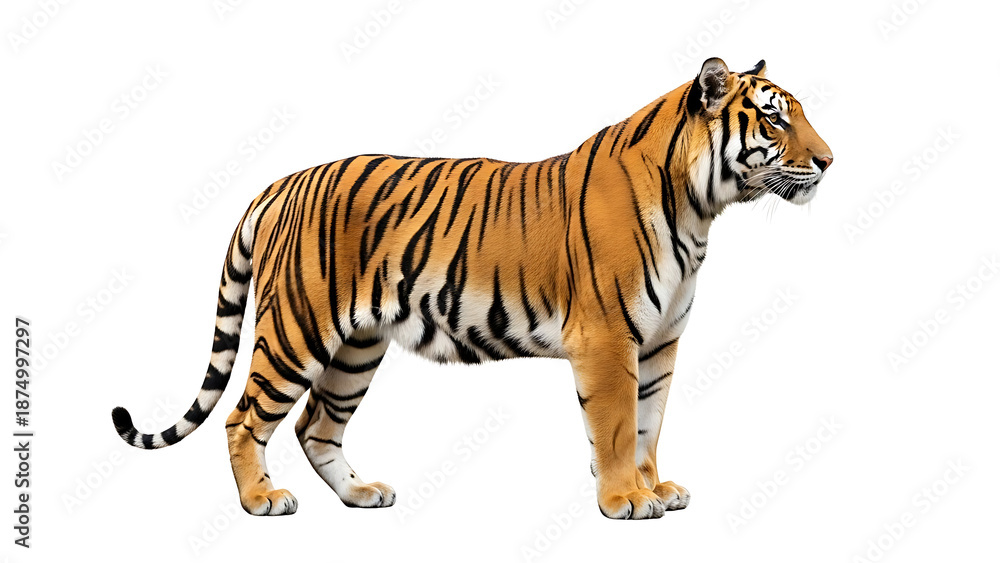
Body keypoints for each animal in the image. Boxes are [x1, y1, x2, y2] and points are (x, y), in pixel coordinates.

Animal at [112, 57, 832, 520]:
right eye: (774, 121)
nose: (829, 160)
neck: (699, 209)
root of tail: (281, 183)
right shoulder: (608, 340)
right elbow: (617, 426)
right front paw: (626, 500)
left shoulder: (658, 344)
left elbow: (649, 425)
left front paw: (657, 488)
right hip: (297, 329)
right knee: (243, 418)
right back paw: (261, 500)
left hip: (356, 348)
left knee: (316, 424)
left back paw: (361, 494)